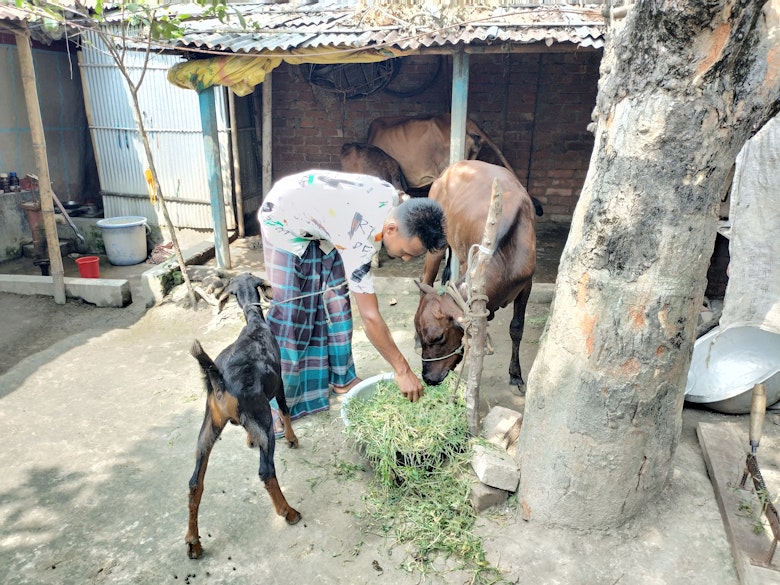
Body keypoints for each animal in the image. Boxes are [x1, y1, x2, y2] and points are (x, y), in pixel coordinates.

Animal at [186, 272, 302, 560]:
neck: (255, 324)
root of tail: (220, 381)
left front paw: (249, 439)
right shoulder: (278, 382)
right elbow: (285, 409)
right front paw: (292, 439)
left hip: (209, 424)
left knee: (195, 482)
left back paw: (193, 542)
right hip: (262, 416)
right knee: (266, 471)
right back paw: (289, 512)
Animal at [414, 159, 536, 388]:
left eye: (439, 338)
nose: (427, 378)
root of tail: (450, 169)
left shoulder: (527, 284)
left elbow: (517, 328)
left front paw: (515, 374)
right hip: (437, 243)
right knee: (425, 278)